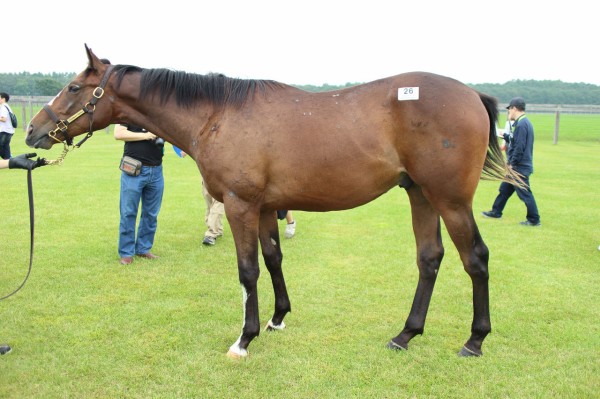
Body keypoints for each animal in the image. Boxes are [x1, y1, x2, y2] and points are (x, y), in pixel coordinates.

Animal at [25, 44, 520, 360]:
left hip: (450, 200)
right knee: (429, 258)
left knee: (475, 258)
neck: (217, 114)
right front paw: (278, 319)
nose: (32, 130)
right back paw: (406, 334)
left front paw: (244, 339)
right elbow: (273, 258)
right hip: (420, 194)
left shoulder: (240, 205)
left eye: (73, 88)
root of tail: (470, 93)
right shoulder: (263, 208)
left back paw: (475, 340)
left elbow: (248, 271)